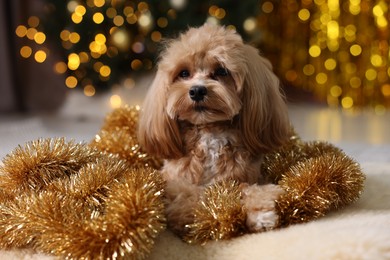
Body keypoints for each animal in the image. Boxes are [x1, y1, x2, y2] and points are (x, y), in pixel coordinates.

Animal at [139, 24, 290, 236]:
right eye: (184, 73)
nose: (197, 90)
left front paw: (261, 212)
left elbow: (248, 189)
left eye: (221, 71)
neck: (210, 131)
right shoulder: (175, 180)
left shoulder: (244, 176)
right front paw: (190, 214)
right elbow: (186, 193)